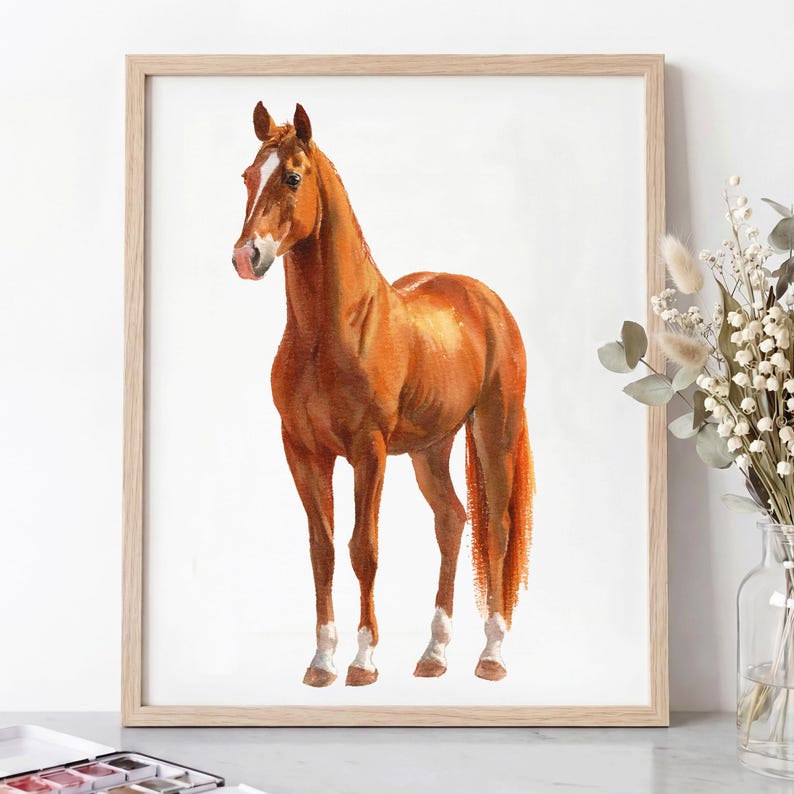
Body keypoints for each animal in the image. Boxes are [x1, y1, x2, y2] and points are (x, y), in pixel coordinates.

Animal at [232, 102, 535, 687]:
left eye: (293, 177)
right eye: (247, 177)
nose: (245, 256)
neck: (329, 333)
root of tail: (486, 301)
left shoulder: (367, 451)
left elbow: (363, 548)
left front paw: (363, 661)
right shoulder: (303, 451)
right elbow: (323, 550)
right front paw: (321, 662)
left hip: (494, 433)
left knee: (498, 528)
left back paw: (491, 655)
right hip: (429, 449)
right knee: (452, 521)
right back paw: (434, 654)